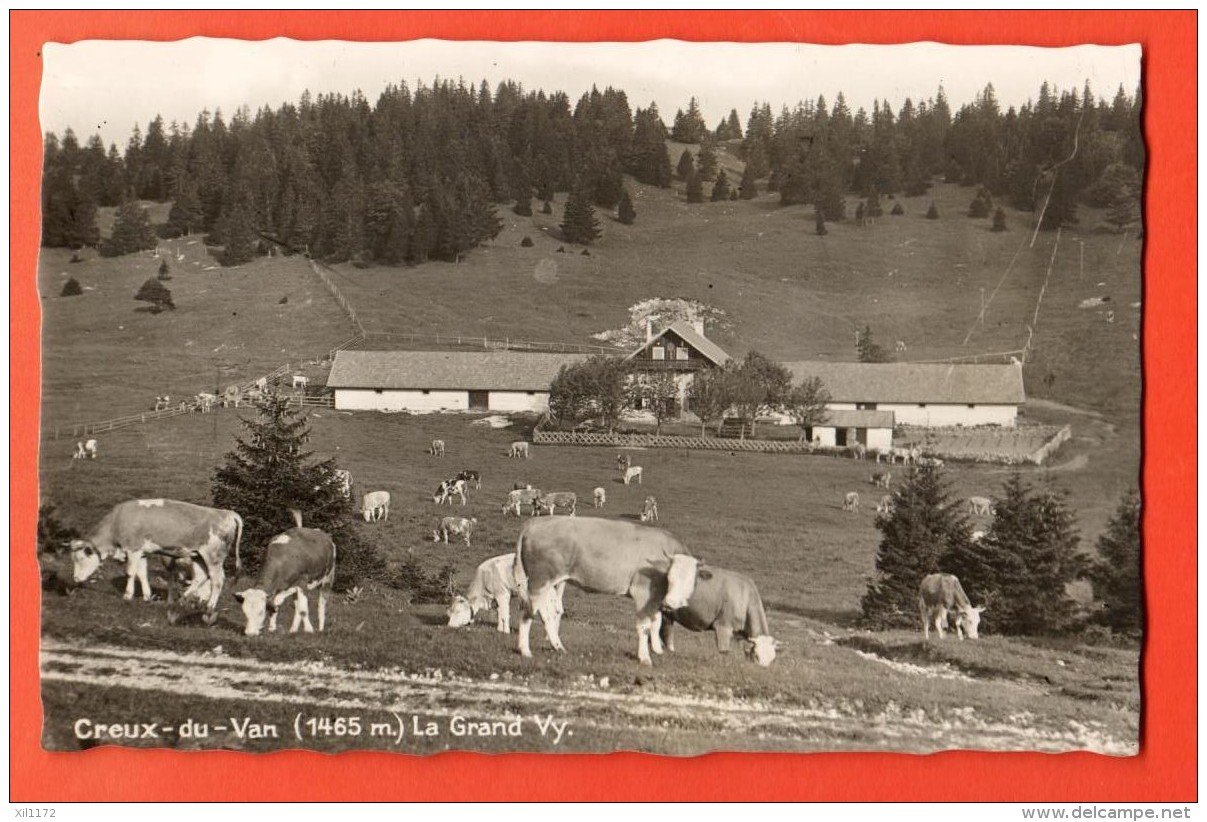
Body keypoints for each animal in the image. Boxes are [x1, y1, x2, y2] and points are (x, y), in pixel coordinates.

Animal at [69, 494, 243, 622]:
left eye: (81, 559)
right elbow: (141, 574)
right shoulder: (142, 552)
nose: (76, 579)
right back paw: (182, 599)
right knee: (201, 577)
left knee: (217, 580)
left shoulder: (133, 548)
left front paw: (127, 595)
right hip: (198, 555)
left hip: (213, 556)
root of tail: (225, 512)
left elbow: (130, 573)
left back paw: (209, 607)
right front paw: (147, 597)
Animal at [514, 519, 704, 666]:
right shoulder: (643, 593)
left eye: (691, 580)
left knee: (546, 614)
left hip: (549, 584)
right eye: (671, 576)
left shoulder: (655, 598)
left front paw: (657, 650)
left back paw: (558, 646)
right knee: (527, 614)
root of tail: (537, 522)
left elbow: (655, 623)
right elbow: (644, 627)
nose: (672, 602)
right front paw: (644, 658)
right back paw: (525, 651)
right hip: (539, 581)